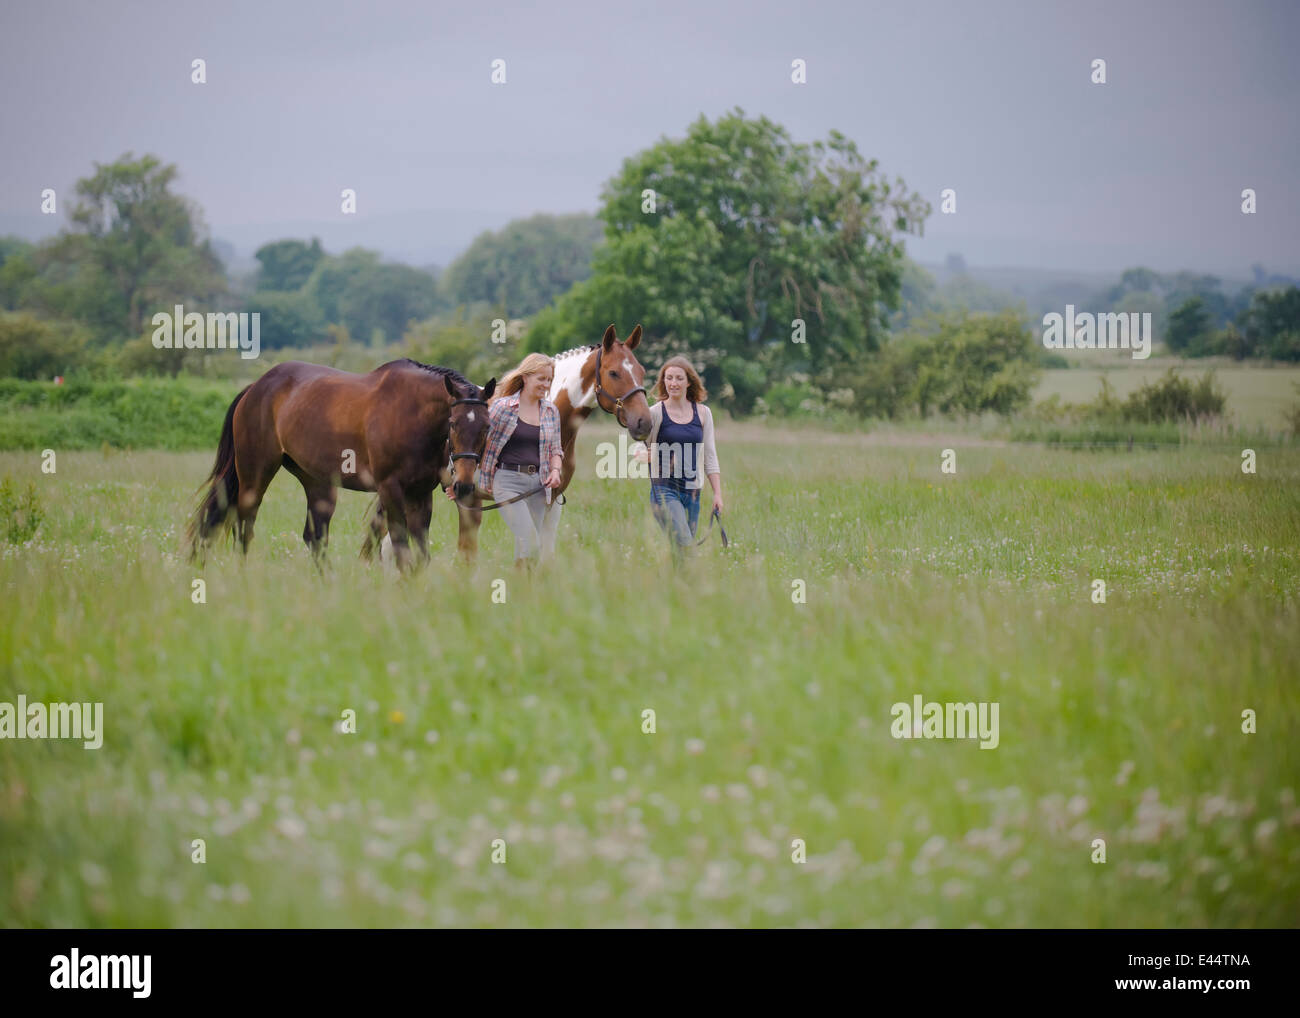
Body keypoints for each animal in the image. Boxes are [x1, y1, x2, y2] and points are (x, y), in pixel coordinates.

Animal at [188, 358, 496, 569]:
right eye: (453, 424)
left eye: (487, 426)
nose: (464, 485)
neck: (409, 414)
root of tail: (255, 388)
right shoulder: (390, 489)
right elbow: (400, 547)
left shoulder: (420, 494)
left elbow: (420, 555)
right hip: (255, 476)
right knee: (244, 527)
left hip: (318, 484)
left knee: (314, 537)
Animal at [361, 322, 650, 561]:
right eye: (613, 373)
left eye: (641, 371)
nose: (644, 422)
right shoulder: (471, 501)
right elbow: (466, 556)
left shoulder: (550, 501)